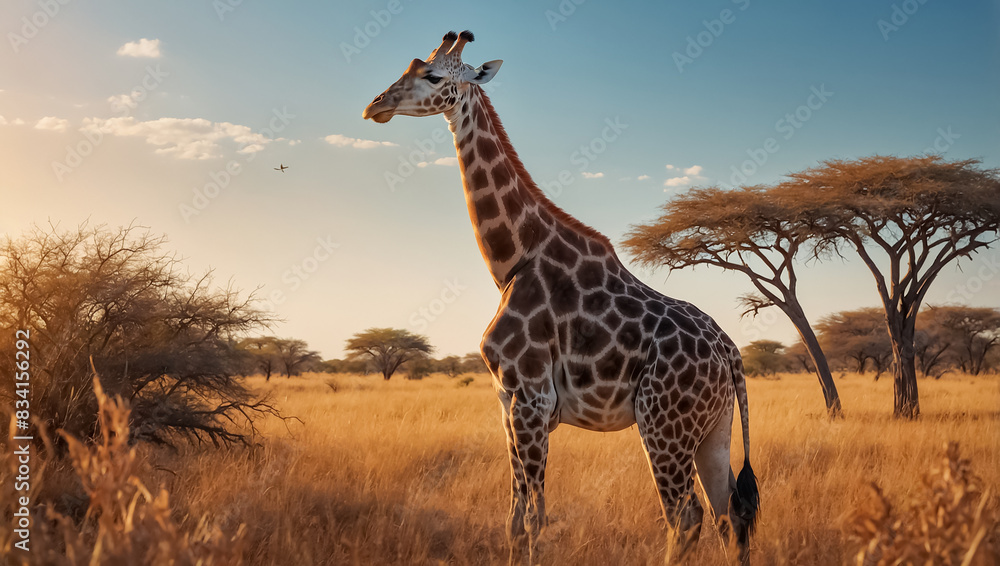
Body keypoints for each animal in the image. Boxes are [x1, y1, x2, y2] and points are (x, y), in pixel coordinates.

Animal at [363, 31, 760, 564]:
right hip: (713, 430)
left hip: (663, 425)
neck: (512, 261)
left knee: (686, 516)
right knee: (728, 515)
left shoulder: (531, 398)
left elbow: (534, 519)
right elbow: (514, 519)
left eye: (432, 75)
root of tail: (730, 353)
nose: (375, 105)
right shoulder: (506, 401)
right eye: (410, 65)